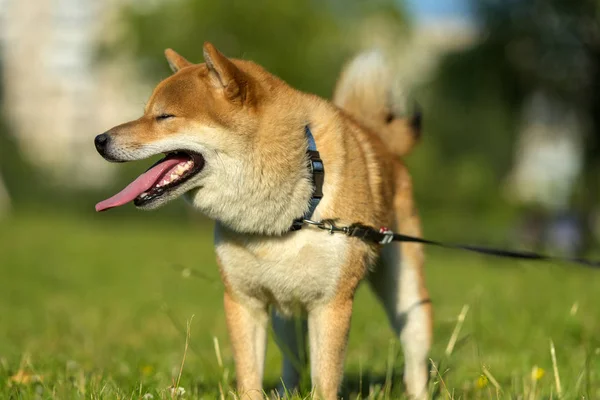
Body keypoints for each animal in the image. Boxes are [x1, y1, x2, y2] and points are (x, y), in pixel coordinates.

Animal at [94, 42, 428, 398]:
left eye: (165, 116)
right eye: (145, 112)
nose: (99, 140)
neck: (289, 216)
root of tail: (380, 140)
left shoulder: (331, 305)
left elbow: (325, 380)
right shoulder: (243, 301)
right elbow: (249, 376)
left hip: (408, 299)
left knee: (414, 359)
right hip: (286, 314)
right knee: (293, 363)